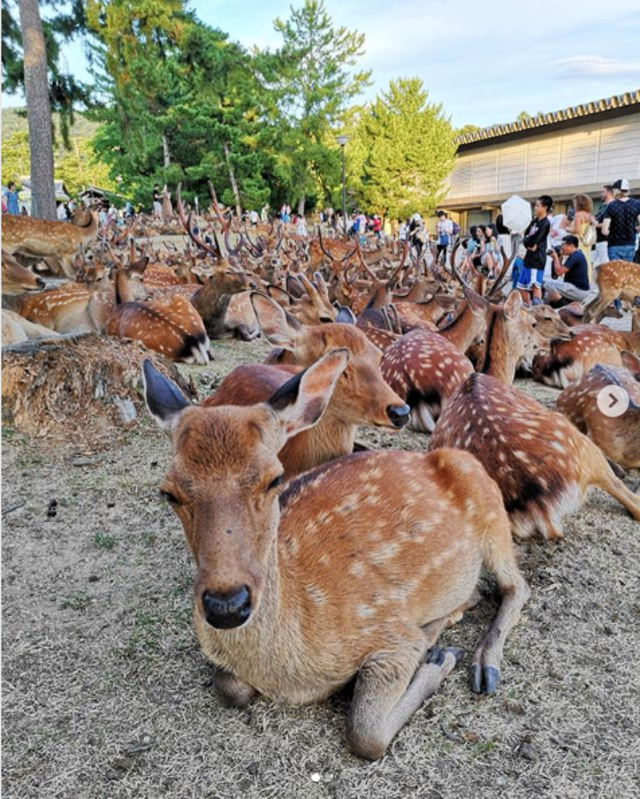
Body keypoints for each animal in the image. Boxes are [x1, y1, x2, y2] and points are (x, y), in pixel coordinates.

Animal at [143, 354, 529, 760]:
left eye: (274, 479)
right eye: (168, 492)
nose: (227, 604)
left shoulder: (389, 631)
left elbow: (366, 733)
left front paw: (440, 657)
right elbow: (230, 688)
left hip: (489, 503)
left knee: (516, 585)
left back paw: (482, 663)